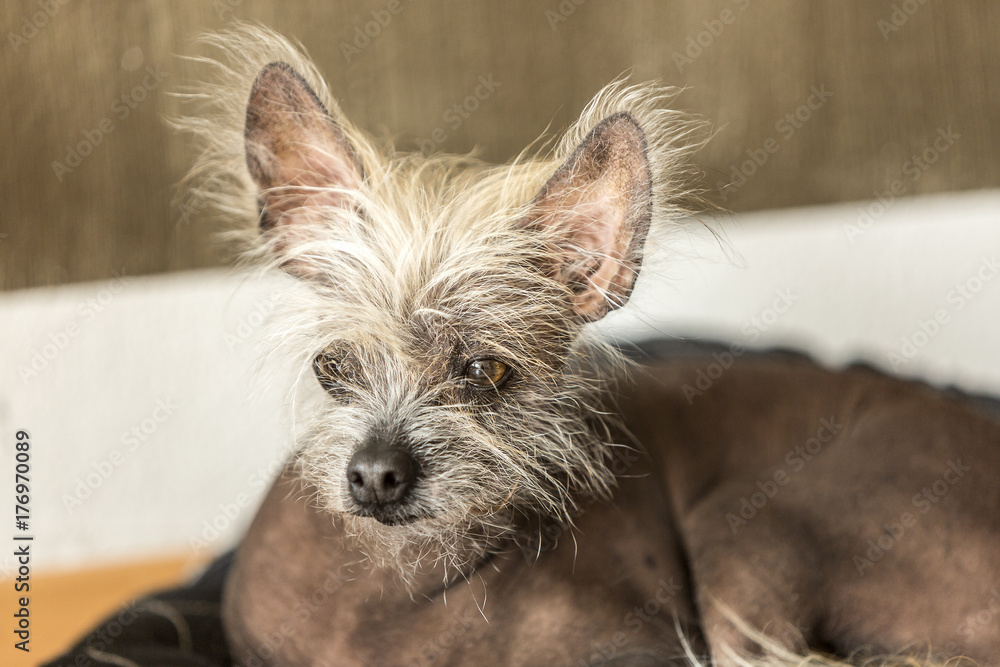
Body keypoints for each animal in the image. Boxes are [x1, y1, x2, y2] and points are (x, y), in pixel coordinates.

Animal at [177, 25, 999, 666]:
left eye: (487, 370)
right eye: (333, 366)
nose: (377, 473)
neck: (393, 586)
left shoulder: (646, 644)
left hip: (750, 520)